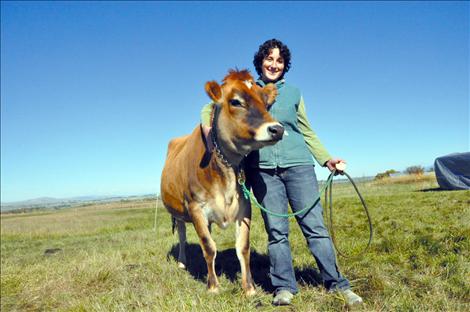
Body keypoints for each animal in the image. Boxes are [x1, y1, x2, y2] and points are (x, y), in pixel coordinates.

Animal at [160, 69, 284, 294]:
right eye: (236, 101)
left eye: (265, 102)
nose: (277, 129)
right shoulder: (195, 207)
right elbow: (208, 247)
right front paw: (213, 286)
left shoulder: (244, 207)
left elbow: (242, 248)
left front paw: (249, 288)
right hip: (179, 212)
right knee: (182, 235)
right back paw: (182, 262)